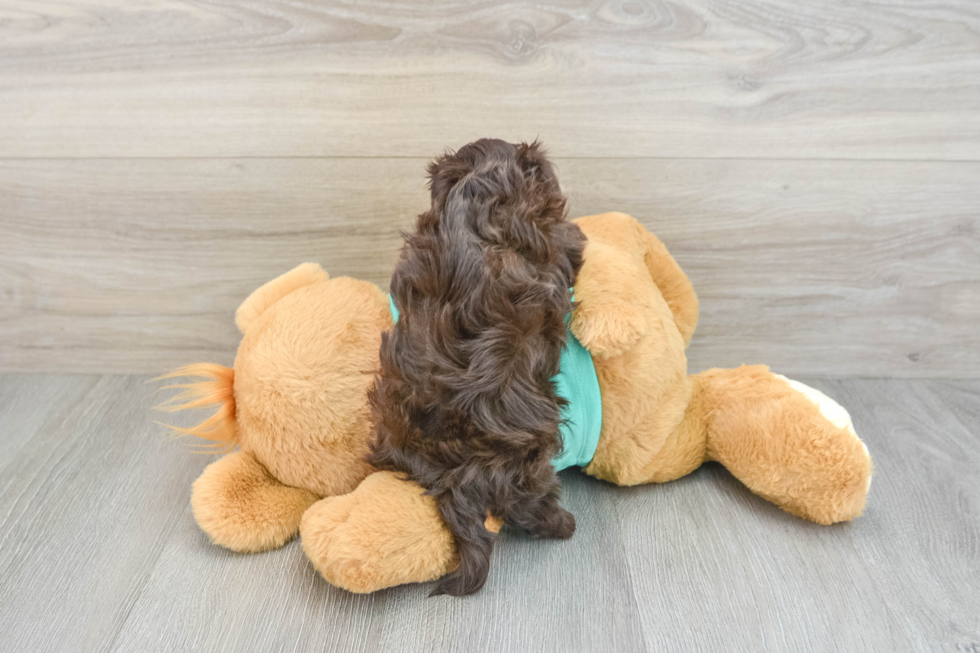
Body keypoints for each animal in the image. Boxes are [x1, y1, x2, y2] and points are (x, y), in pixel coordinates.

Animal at [366, 138, 580, 596]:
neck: (475, 200)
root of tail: (452, 471)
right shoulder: (553, 242)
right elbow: (572, 244)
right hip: (527, 463)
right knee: (530, 505)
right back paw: (563, 525)